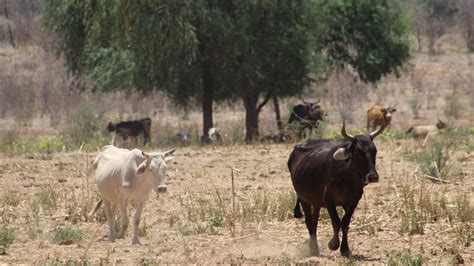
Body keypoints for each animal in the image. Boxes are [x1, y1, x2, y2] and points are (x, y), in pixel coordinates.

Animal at [288, 121, 386, 256]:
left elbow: (345, 222)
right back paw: (313, 249)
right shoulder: (329, 200)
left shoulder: (353, 201)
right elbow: (336, 222)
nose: (373, 176)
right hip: (304, 199)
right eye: (357, 152)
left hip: (316, 202)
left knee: (314, 221)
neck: (347, 178)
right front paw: (333, 244)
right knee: (309, 222)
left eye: (374, 151)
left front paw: (345, 248)